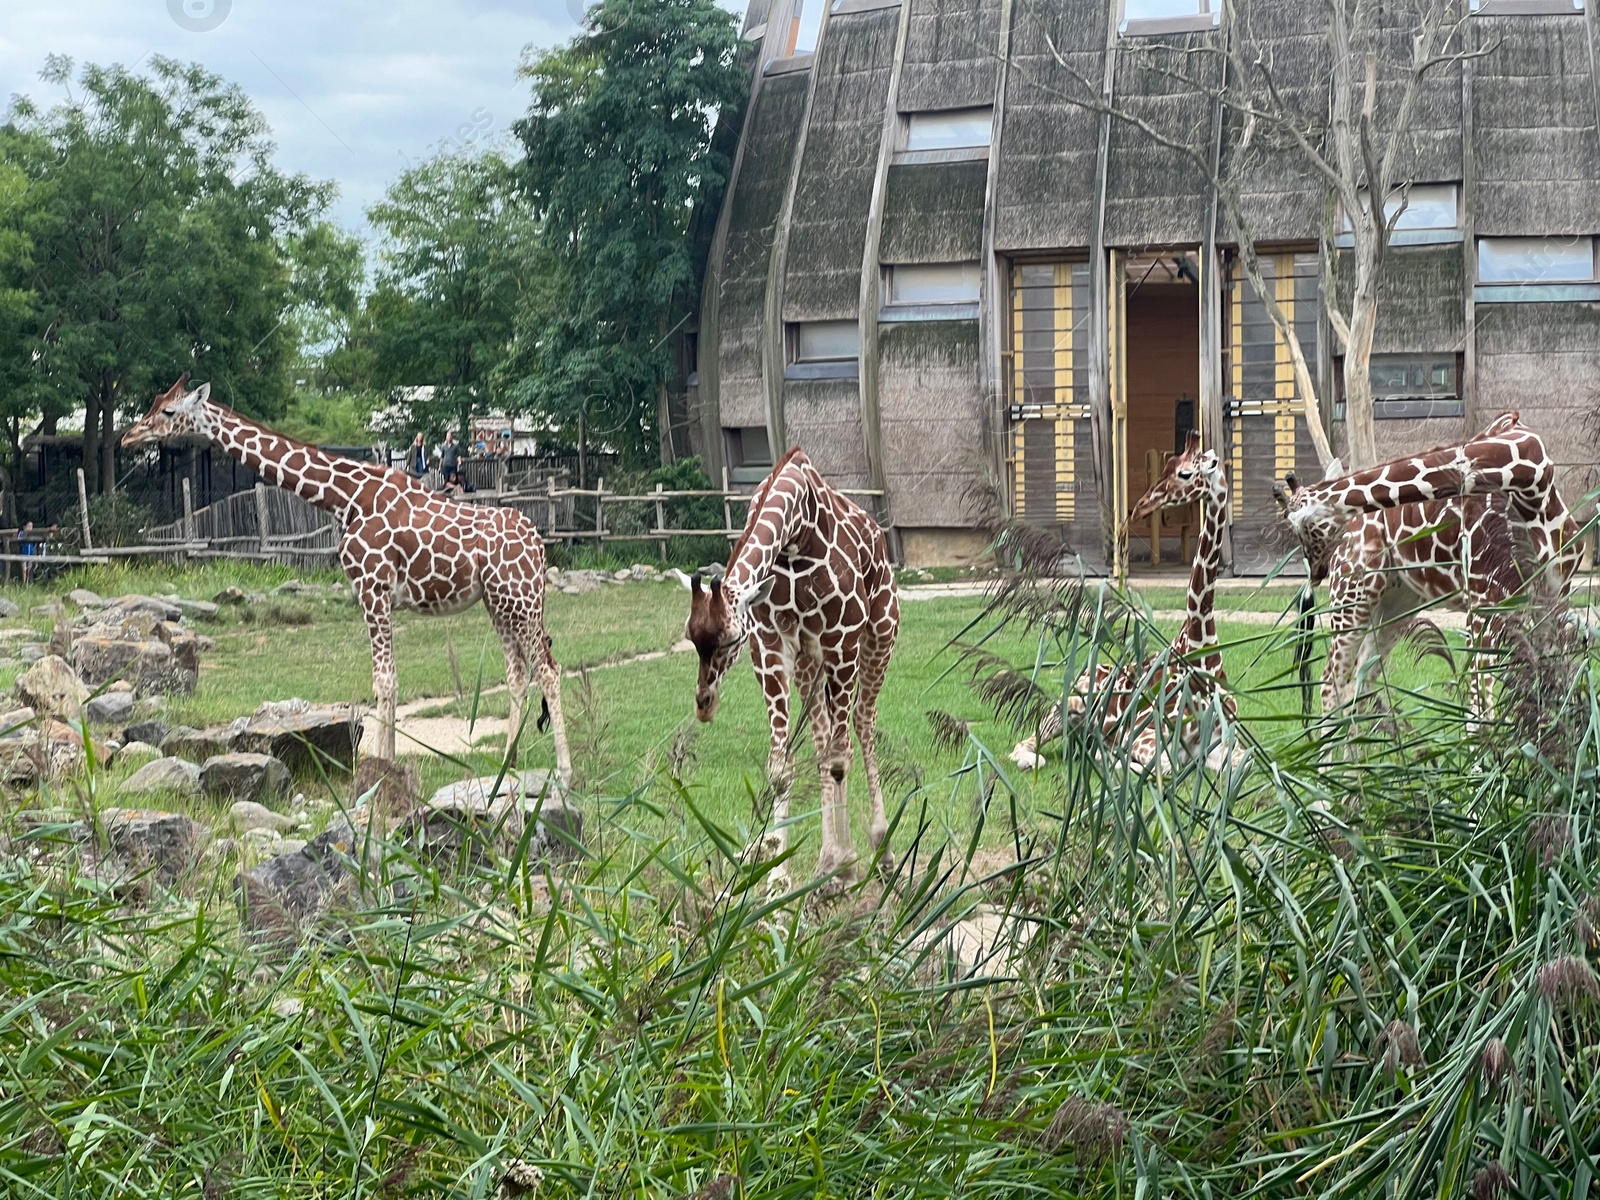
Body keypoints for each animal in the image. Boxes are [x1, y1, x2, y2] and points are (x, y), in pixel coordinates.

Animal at [124, 380, 576, 784]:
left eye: (168, 411)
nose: (130, 435)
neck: (345, 498)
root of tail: (539, 544)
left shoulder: (371, 588)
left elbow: (384, 680)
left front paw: (378, 770)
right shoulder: (378, 594)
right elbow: (390, 679)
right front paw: (389, 768)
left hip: (521, 599)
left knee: (548, 670)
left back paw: (564, 773)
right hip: (499, 602)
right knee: (518, 673)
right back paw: (505, 768)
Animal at [675, 448, 902, 896]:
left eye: (730, 640)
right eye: (691, 637)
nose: (704, 705)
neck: (797, 535)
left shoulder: (841, 638)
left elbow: (839, 757)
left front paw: (844, 865)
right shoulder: (772, 644)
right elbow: (782, 766)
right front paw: (777, 874)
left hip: (879, 634)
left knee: (862, 724)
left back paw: (879, 851)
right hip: (809, 661)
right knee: (822, 738)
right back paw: (830, 862)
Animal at [1011, 432, 1235, 771]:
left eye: (1184, 473)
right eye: (1167, 465)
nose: (1140, 508)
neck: (1202, 654)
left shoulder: (1227, 746)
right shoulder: (1146, 737)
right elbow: (1161, 765)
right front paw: (1109, 757)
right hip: (1066, 704)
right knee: (1023, 744)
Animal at [1280, 409, 1580, 720]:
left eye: (1301, 526)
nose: (1318, 570)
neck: (1534, 483)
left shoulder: (1554, 600)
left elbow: (1553, 696)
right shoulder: (1485, 605)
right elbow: (1481, 712)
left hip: (1395, 606)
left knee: (1359, 684)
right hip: (1352, 597)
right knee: (1332, 683)